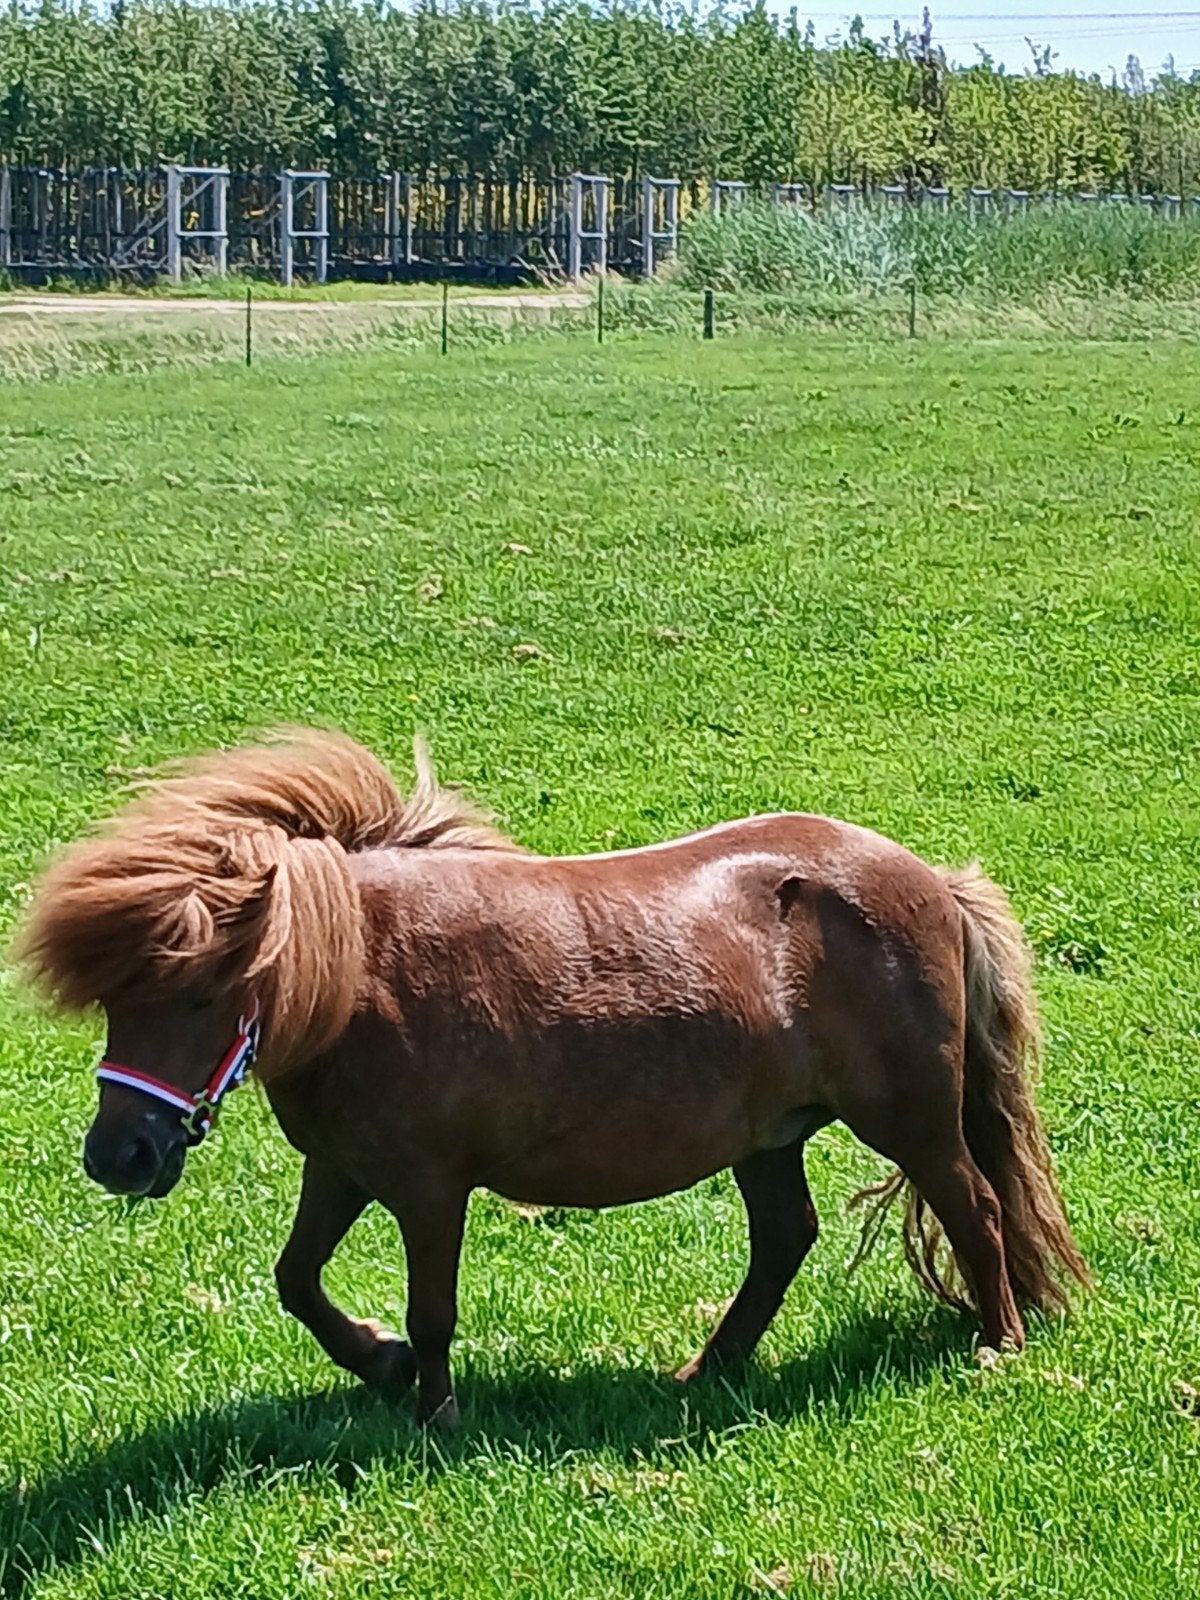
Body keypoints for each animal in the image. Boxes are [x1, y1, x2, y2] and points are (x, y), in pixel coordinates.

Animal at [18, 730, 1089, 1427]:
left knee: (975, 1207)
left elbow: (433, 1309)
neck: (369, 977)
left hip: (910, 1117)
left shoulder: (429, 1187)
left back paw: (998, 1346)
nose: (117, 1155)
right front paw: (377, 1363)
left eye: (201, 991)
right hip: (769, 1135)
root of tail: (931, 881)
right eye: (115, 1001)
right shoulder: (342, 1169)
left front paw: (434, 1415)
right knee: (788, 1238)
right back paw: (710, 1369)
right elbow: (296, 1280)